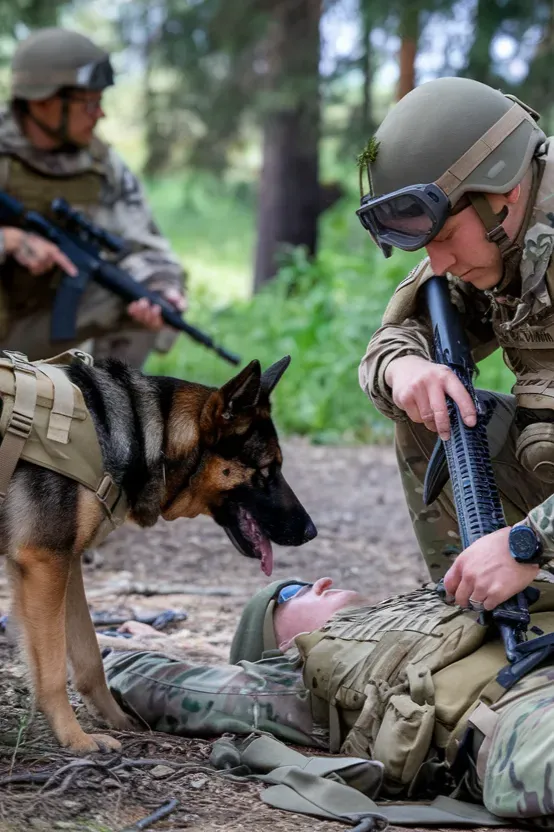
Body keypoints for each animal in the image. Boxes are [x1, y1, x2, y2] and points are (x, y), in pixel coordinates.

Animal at [2, 356, 314, 752]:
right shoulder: (46, 562)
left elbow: (89, 656)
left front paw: (115, 719)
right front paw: (74, 738)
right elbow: (55, 670)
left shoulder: (65, 564)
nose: (310, 531)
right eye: (267, 471)